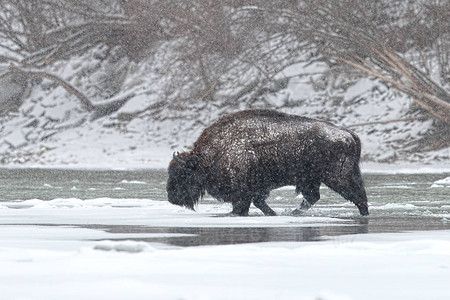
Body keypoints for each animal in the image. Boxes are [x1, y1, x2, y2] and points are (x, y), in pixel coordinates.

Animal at [166, 109, 370, 216]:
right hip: (310, 179)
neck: (208, 157)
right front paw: (273, 214)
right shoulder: (255, 191)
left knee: (357, 195)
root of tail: (348, 134)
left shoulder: (244, 193)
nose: (171, 197)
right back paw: (294, 213)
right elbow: (258, 203)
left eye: (181, 174)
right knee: (313, 197)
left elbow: (244, 206)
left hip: (337, 177)